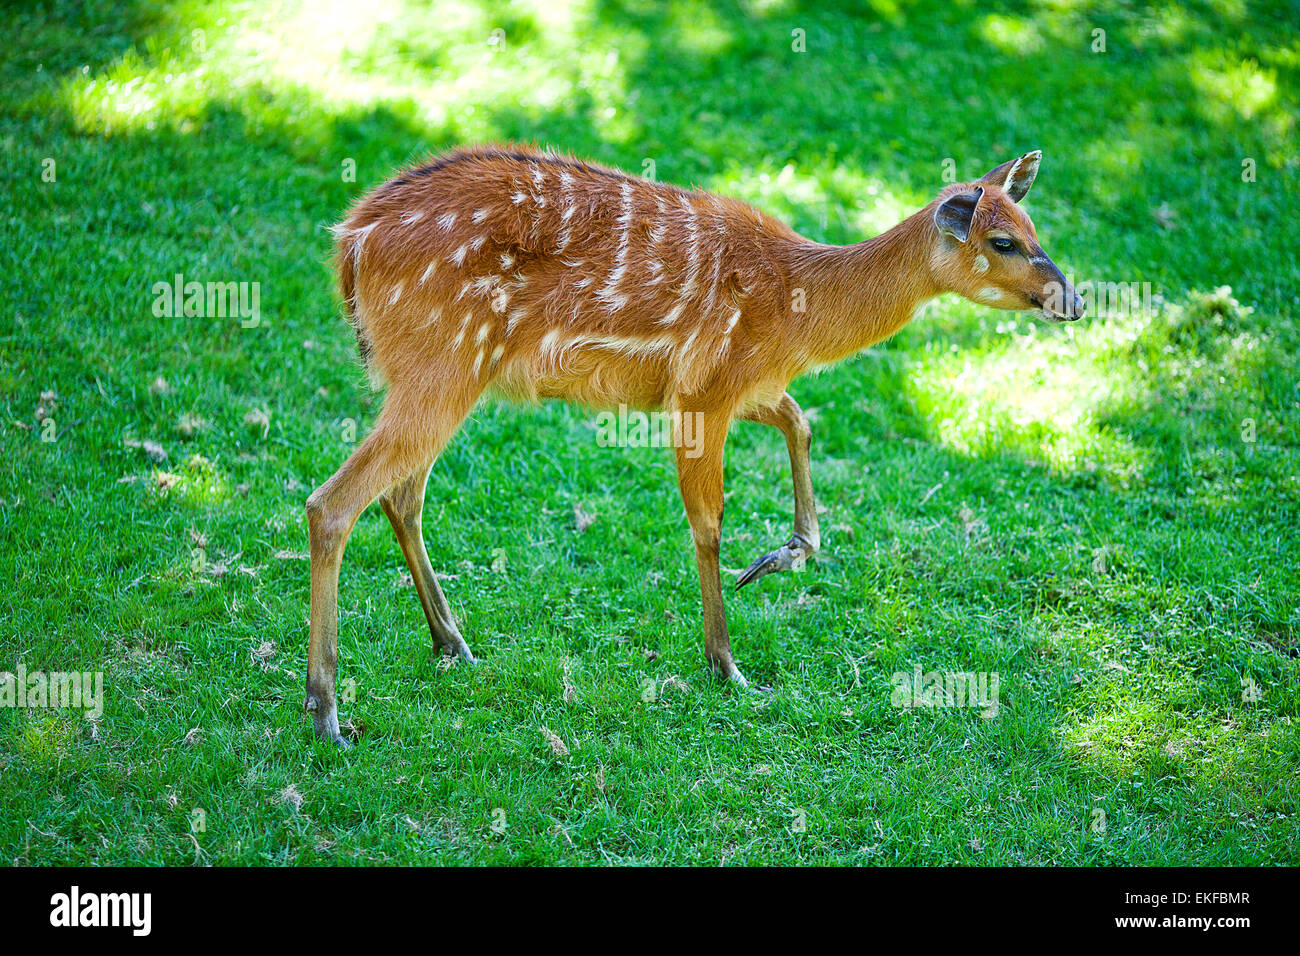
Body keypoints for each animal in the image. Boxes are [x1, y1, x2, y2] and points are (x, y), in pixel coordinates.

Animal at [306, 141, 1086, 743]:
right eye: (1002, 241)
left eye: (1034, 225)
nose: (1073, 299)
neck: (800, 310)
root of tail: (350, 243)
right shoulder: (705, 387)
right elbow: (708, 522)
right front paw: (729, 667)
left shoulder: (742, 386)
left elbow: (800, 421)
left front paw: (782, 556)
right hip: (440, 362)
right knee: (332, 501)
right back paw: (327, 712)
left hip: (446, 376)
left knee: (401, 494)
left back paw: (454, 644)